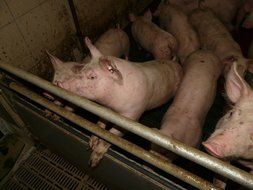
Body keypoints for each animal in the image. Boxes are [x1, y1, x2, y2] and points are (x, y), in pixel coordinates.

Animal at [55, 36, 183, 166]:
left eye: (92, 77)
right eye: (82, 70)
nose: (60, 83)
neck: (114, 105)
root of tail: (176, 63)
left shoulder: (132, 116)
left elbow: (113, 134)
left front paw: (93, 162)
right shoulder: (106, 109)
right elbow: (100, 124)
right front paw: (91, 144)